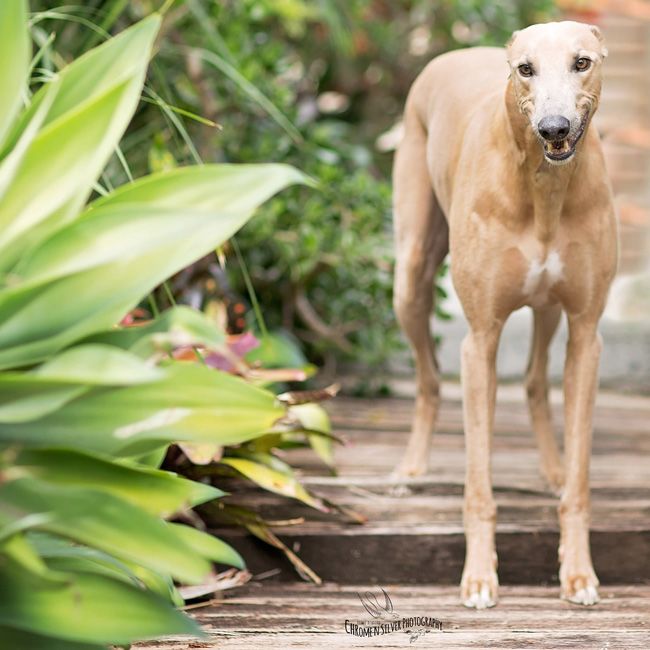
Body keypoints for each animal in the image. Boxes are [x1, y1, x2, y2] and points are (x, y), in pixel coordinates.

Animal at [392, 21, 617, 609]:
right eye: (525, 69)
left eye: (582, 62)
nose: (554, 127)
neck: (544, 187)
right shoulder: (480, 340)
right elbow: (478, 486)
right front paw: (478, 577)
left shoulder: (586, 334)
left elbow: (581, 481)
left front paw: (578, 572)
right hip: (410, 278)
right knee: (428, 381)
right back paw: (410, 468)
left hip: (548, 311)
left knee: (537, 380)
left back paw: (552, 468)